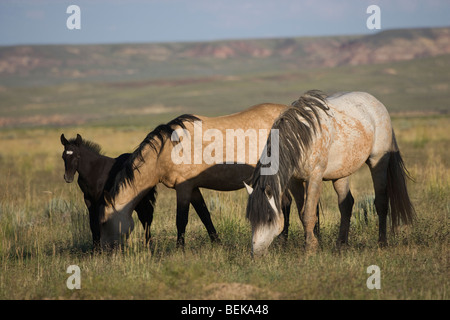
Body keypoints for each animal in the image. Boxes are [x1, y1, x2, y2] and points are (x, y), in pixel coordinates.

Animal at [98, 104, 294, 249]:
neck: (169, 149)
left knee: (285, 203)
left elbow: (181, 220)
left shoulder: (183, 188)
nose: (103, 250)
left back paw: (283, 241)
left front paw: (180, 249)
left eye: (103, 222)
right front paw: (217, 243)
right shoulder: (193, 189)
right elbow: (204, 215)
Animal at [244, 90, 416, 255]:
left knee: (381, 202)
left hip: (377, 162)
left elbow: (308, 214)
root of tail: (377, 104)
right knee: (346, 204)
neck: (302, 137)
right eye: (251, 219)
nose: (256, 253)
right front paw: (313, 243)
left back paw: (382, 243)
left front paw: (310, 249)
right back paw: (341, 244)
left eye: (268, 219)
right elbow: (302, 213)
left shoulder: (314, 178)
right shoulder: (295, 182)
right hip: (341, 174)